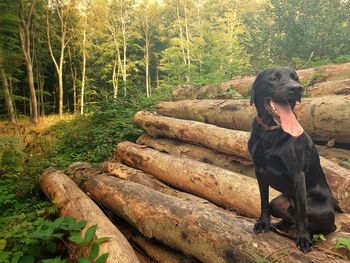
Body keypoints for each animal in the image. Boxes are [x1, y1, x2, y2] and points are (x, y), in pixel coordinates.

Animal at [247, 67, 334, 254]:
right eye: (273, 78)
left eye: (296, 78)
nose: (297, 88)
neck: (270, 133)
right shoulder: (259, 171)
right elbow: (263, 200)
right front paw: (263, 223)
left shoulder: (297, 174)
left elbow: (302, 213)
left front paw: (304, 239)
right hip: (278, 202)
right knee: (288, 218)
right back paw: (276, 226)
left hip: (318, 209)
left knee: (322, 225)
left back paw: (309, 236)